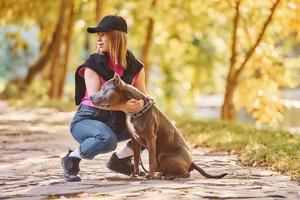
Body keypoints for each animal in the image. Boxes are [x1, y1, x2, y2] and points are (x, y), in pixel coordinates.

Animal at [91, 73, 227, 180]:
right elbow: (136, 158)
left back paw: (166, 176)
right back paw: (162, 173)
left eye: (103, 88)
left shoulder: (151, 138)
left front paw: (150, 175)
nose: (91, 96)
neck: (136, 111)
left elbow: (151, 159)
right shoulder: (135, 140)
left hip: (164, 156)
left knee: (185, 173)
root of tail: (191, 161)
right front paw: (135, 174)